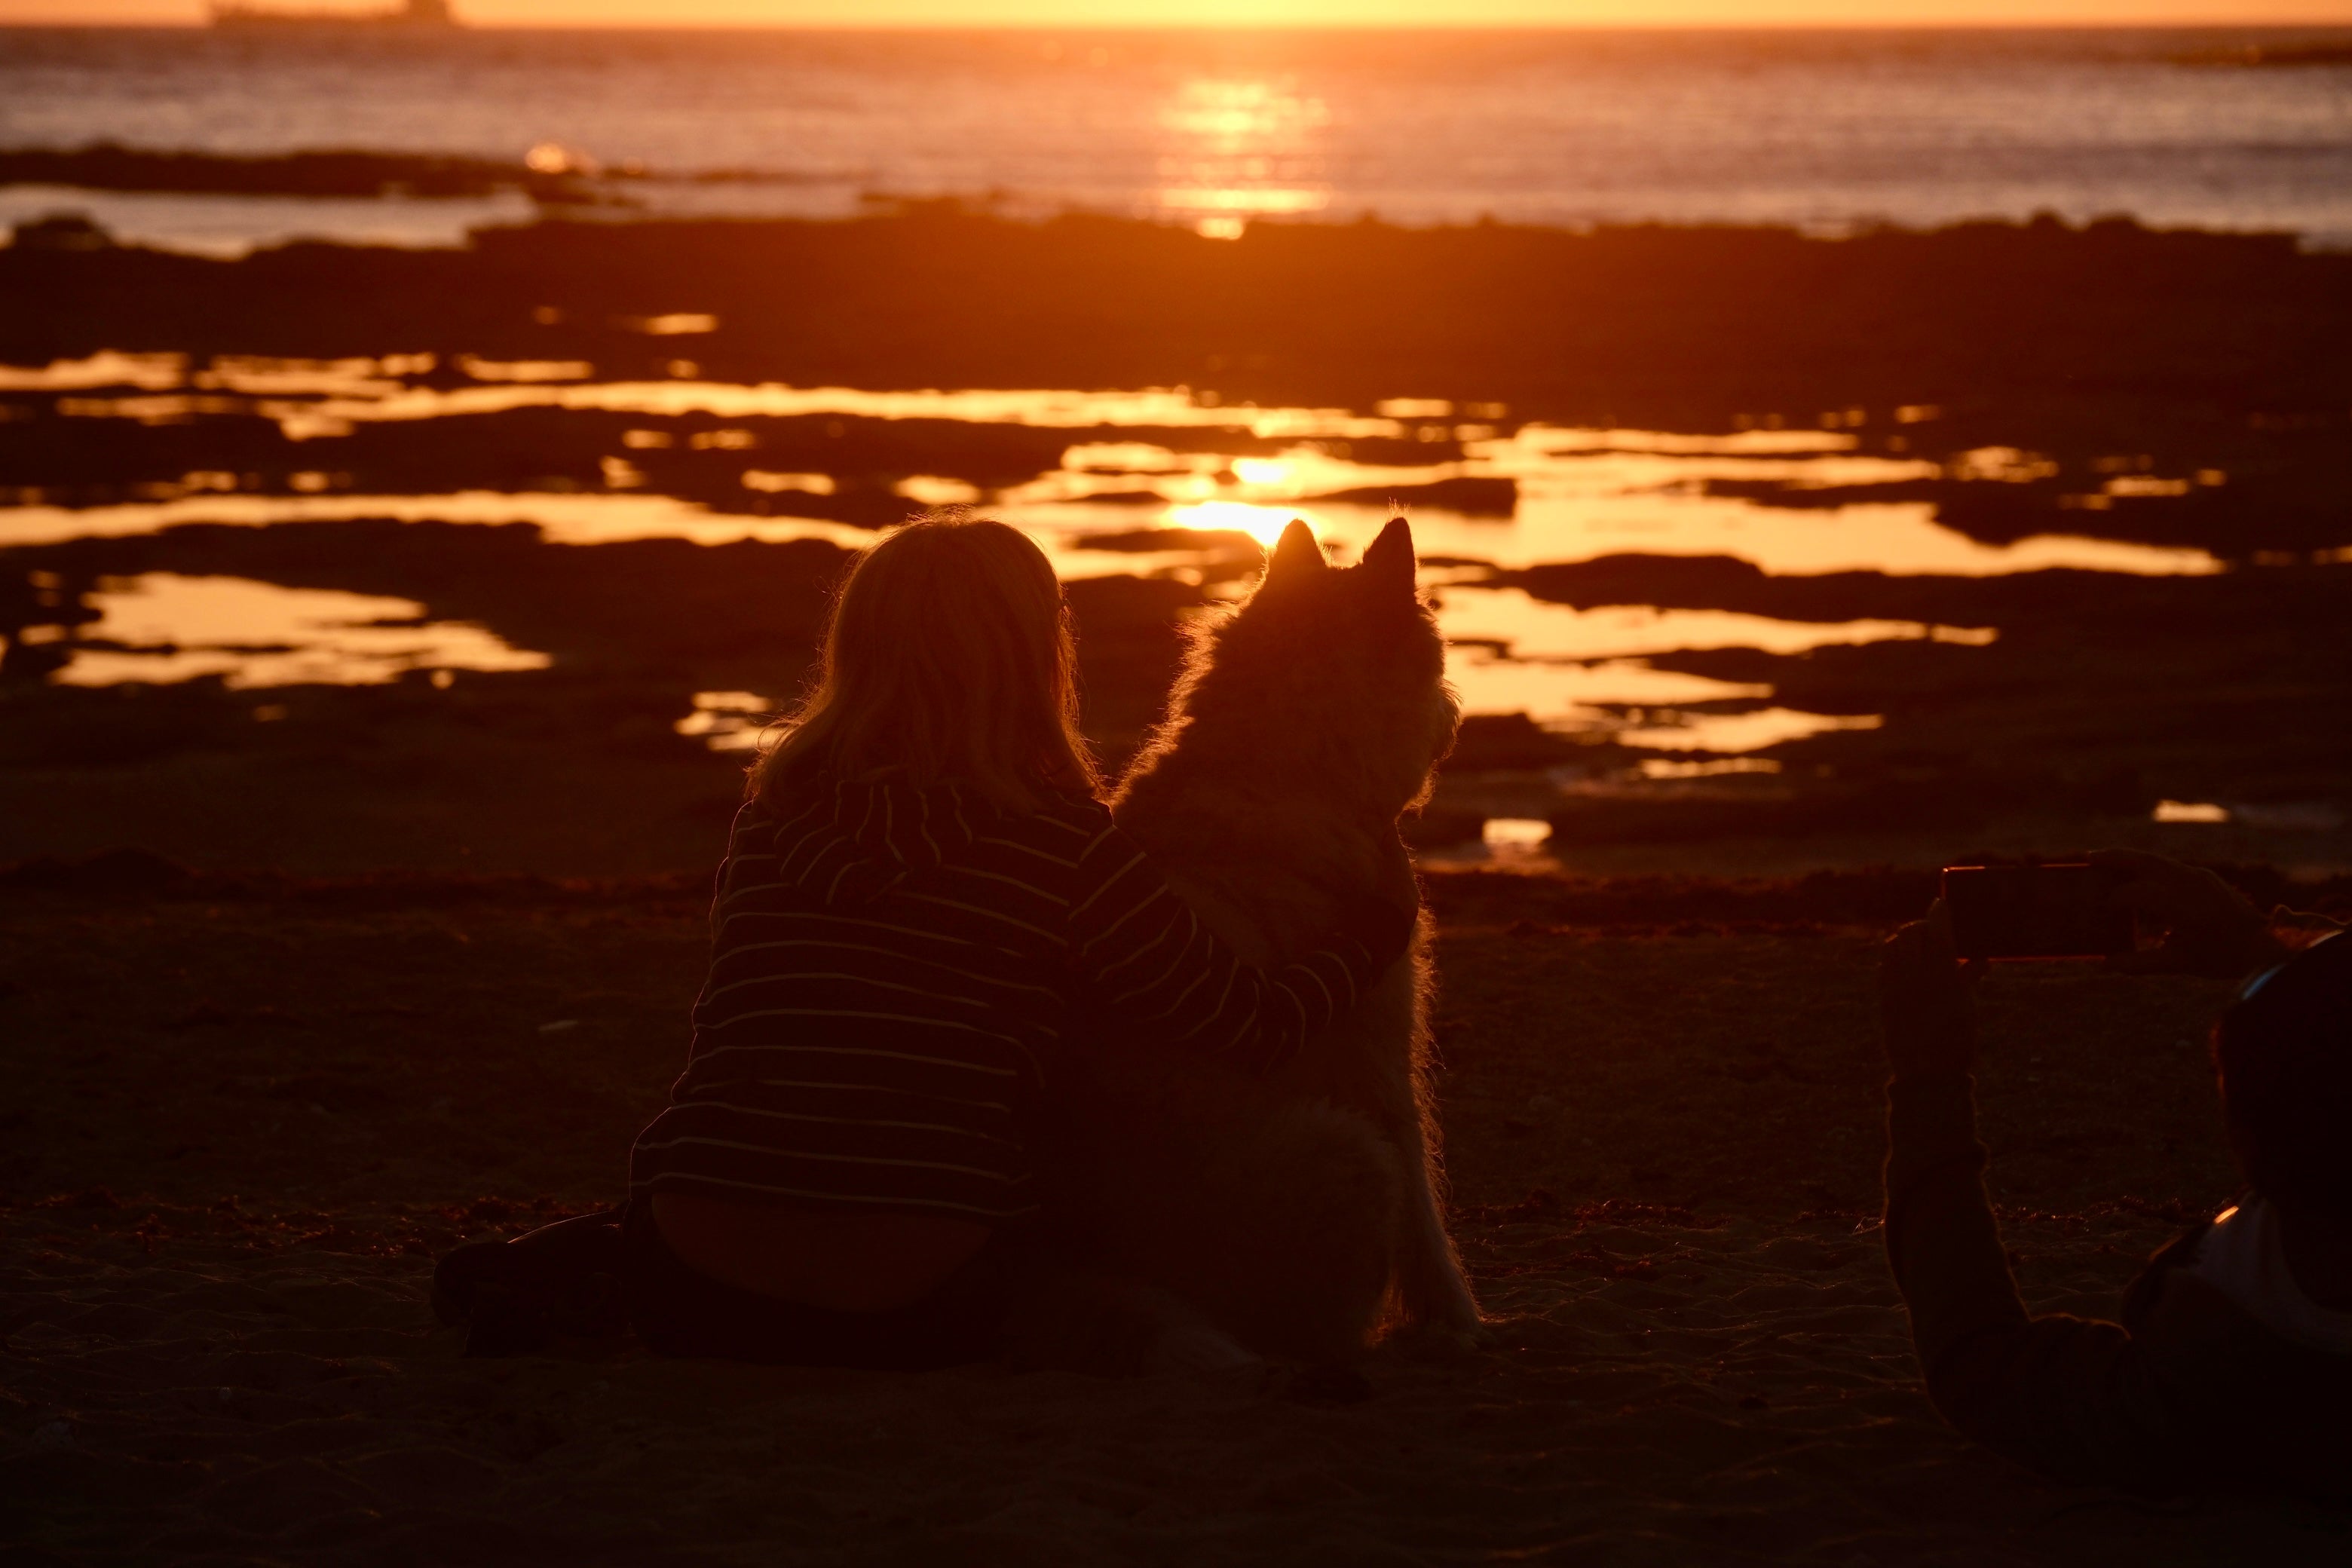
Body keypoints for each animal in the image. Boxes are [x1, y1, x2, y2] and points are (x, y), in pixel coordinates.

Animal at [1049, 514, 1486, 1363]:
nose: (1458, 715)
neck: (1292, 764)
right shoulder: (1382, 1065)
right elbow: (1428, 1216)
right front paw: (1460, 1321)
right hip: (1348, 1153)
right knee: (1309, 1335)